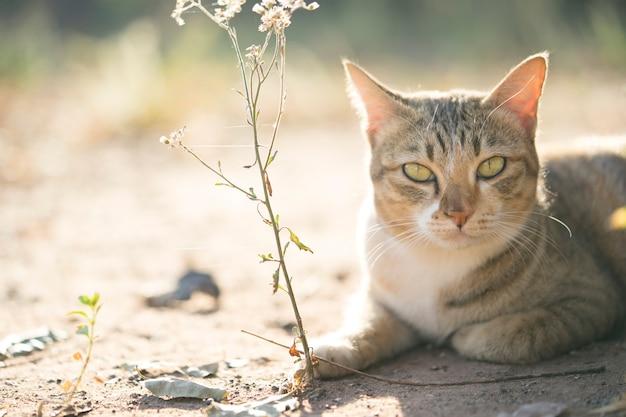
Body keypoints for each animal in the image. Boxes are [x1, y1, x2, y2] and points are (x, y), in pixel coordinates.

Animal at [312, 52, 624, 376]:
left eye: (492, 166)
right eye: (417, 171)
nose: (458, 214)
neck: (439, 264)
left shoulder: (593, 298)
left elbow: (520, 334)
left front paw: (466, 334)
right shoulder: (378, 298)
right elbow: (368, 321)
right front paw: (336, 346)